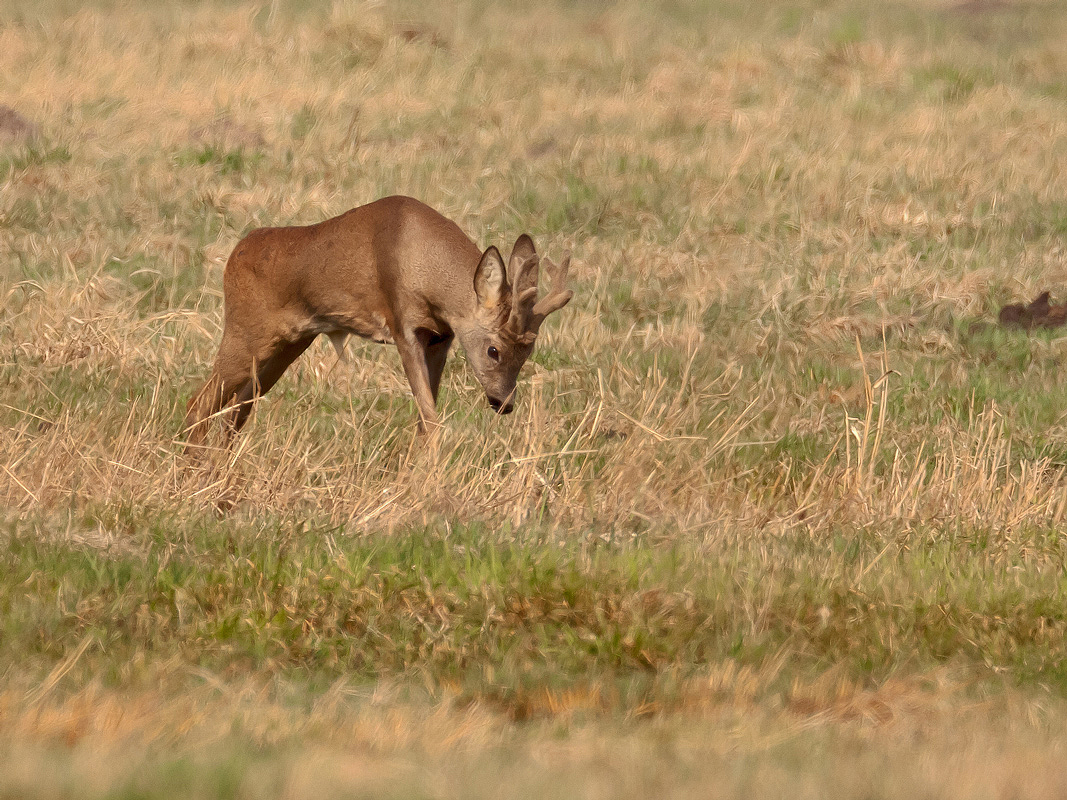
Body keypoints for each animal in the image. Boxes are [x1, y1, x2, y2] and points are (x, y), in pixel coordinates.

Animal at [181, 196, 576, 456]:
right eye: (494, 349)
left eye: (529, 352)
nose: (503, 402)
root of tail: (234, 256)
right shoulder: (403, 325)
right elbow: (431, 417)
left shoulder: (441, 337)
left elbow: (424, 418)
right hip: (246, 332)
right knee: (199, 402)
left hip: (288, 345)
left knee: (236, 410)